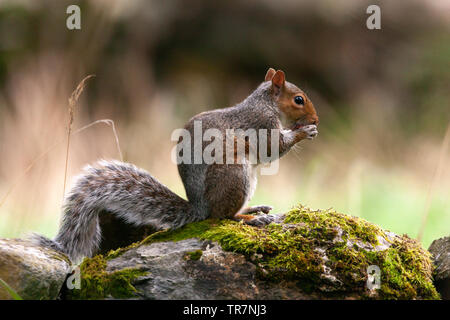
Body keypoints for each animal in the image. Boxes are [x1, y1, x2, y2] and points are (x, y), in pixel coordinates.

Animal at [30, 67, 320, 262]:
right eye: (299, 99)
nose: (316, 119)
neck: (265, 102)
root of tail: (199, 206)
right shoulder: (260, 124)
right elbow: (273, 148)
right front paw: (303, 132)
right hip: (234, 174)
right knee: (221, 216)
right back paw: (249, 218)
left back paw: (254, 209)